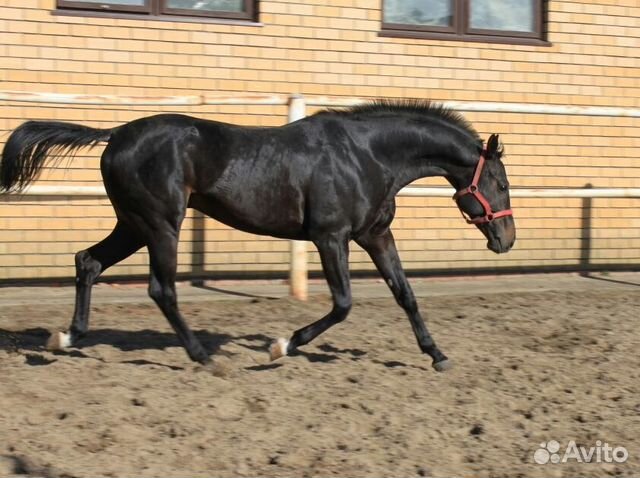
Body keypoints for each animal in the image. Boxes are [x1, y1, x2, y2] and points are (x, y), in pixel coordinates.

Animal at [1, 99, 516, 372]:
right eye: (501, 182)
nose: (506, 240)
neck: (365, 155)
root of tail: (116, 135)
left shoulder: (374, 235)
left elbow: (405, 294)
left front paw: (438, 355)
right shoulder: (331, 237)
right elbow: (343, 304)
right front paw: (281, 345)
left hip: (133, 223)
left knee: (87, 261)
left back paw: (66, 338)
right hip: (161, 225)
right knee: (161, 288)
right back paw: (202, 356)